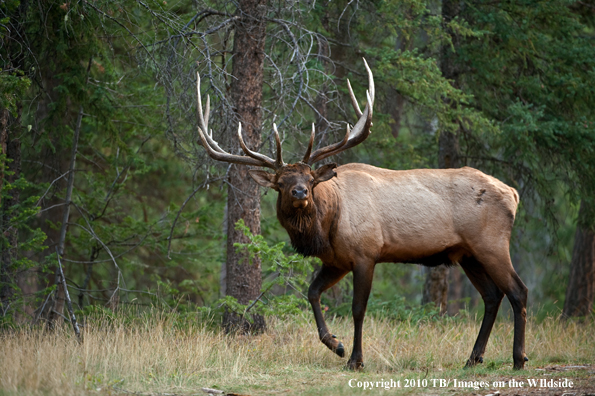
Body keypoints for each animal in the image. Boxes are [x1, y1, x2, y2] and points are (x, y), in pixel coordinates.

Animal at [196, 60, 532, 370]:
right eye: (281, 182)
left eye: (310, 179)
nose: (300, 193)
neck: (327, 226)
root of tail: (513, 194)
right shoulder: (336, 261)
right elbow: (312, 293)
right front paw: (336, 344)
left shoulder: (365, 253)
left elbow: (358, 308)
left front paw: (355, 359)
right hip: (466, 253)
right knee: (492, 296)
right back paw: (473, 358)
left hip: (490, 243)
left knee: (518, 290)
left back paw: (518, 358)